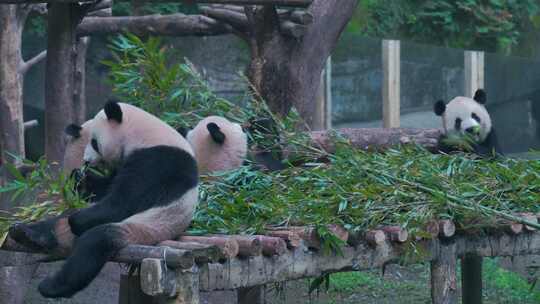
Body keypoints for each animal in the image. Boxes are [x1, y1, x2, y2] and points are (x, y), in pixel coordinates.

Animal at [9, 101, 198, 298]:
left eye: (94, 142)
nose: (86, 160)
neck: (146, 136)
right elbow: (105, 189)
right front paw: (79, 179)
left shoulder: (158, 162)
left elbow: (122, 202)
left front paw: (78, 219)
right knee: (59, 220)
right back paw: (28, 233)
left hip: (145, 229)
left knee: (94, 244)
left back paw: (51, 286)